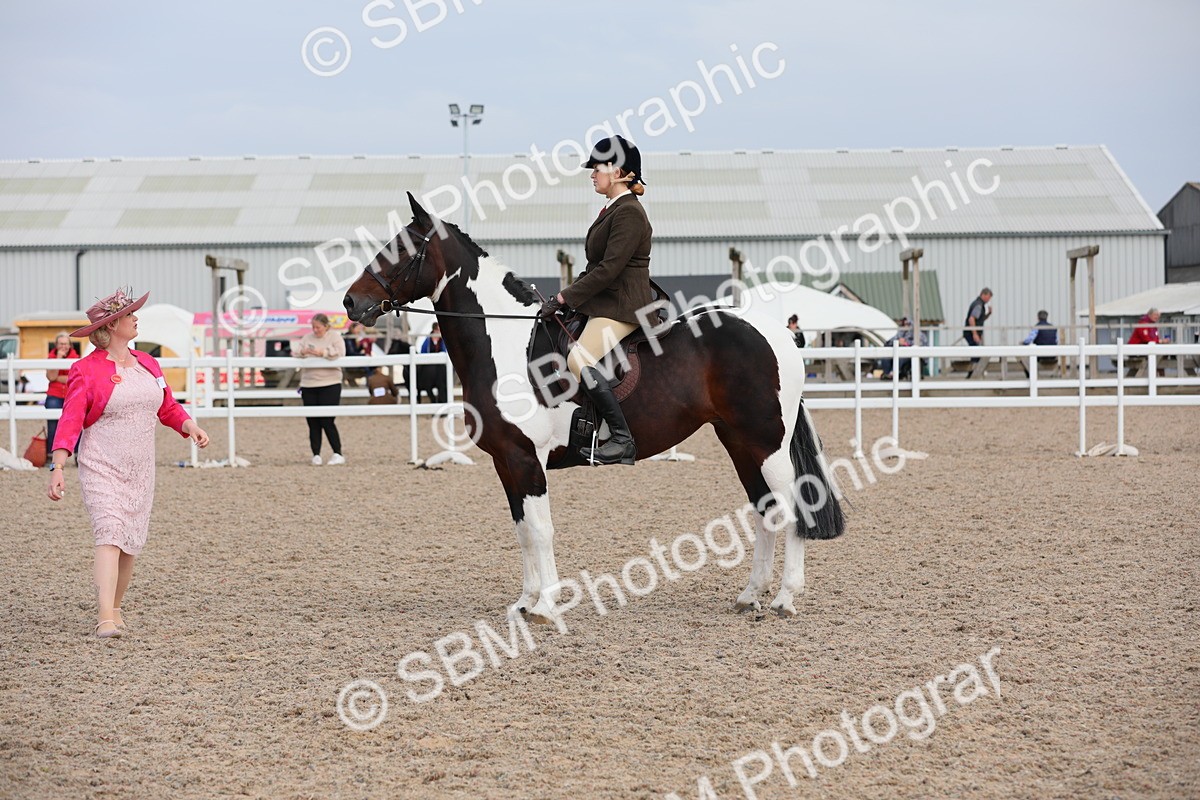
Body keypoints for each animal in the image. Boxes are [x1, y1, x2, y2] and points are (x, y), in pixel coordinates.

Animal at [343, 193, 844, 622]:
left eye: (402, 249)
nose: (351, 301)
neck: (504, 342)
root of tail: (778, 333)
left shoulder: (526, 459)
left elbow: (541, 530)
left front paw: (545, 608)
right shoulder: (507, 461)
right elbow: (522, 530)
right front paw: (524, 602)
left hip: (765, 444)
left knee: (793, 508)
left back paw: (784, 599)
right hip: (740, 443)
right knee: (765, 510)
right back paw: (749, 595)